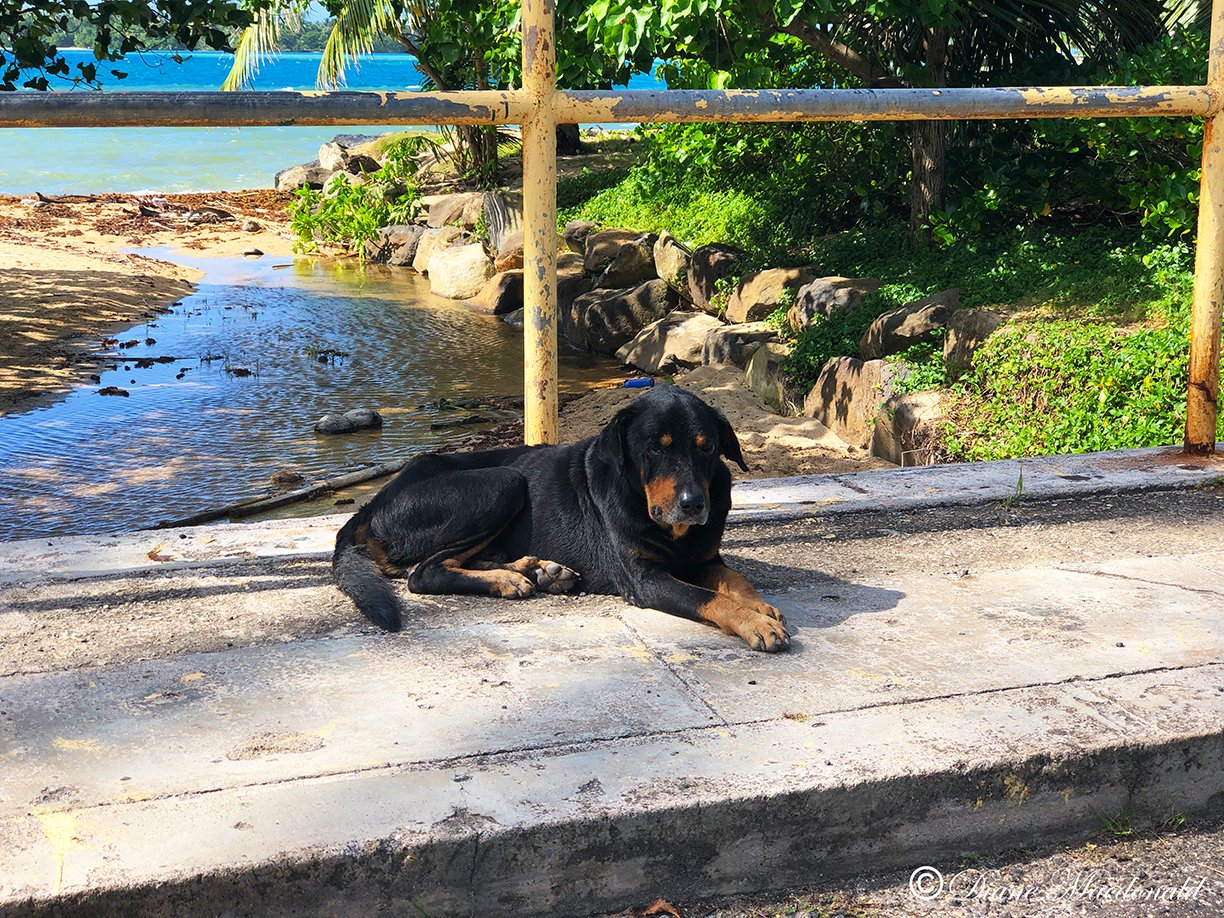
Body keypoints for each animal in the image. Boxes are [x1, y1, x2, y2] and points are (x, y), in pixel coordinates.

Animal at [335, 389, 788, 656]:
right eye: (654, 450)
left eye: (707, 448)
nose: (694, 504)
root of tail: (371, 505)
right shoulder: (645, 580)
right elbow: (708, 599)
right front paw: (755, 622)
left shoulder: (706, 558)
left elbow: (736, 581)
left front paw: (759, 606)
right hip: (502, 482)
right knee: (423, 573)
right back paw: (511, 578)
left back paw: (534, 571)